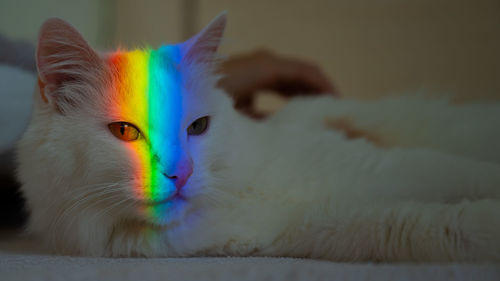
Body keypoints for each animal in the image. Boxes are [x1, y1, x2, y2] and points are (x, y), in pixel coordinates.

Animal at [15, 13, 500, 260]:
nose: (181, 174)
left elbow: (464, 173)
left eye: (198, 127)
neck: (241, 192)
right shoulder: (325, 224)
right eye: (124, 132)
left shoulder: (378, 163)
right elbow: (444, 224)